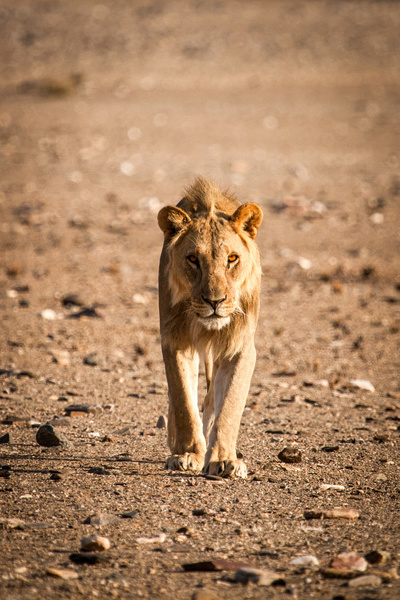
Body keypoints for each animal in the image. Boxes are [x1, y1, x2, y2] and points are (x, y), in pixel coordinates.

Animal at [156, 177, 262, 478]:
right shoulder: (175, 341)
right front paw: (187, 453)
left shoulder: (240, 346)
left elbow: (230, 404)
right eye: (193, 259)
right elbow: (183, 400)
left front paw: (223, 459)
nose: (215, 301)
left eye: (232, 259)